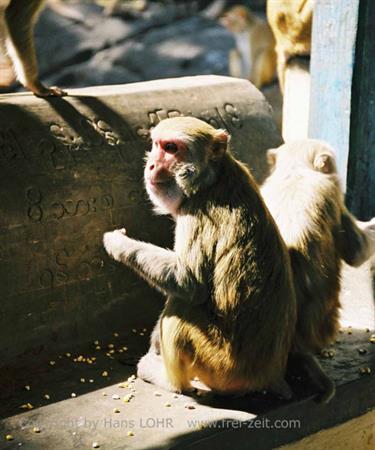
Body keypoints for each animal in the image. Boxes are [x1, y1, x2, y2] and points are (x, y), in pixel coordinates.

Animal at [104, 116, 298, 398]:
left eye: (171, 148)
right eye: (157, 144)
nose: (151, 164)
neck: (212, 180)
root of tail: (267, 376)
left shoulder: (197, 214)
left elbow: (189, 284)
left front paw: (117, 243)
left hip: (221, 367)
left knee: (181, 306)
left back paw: (168, 380)